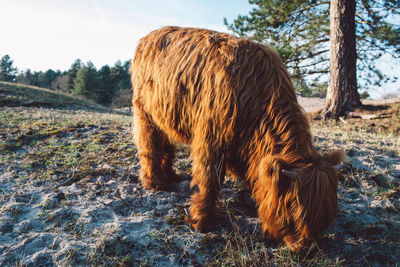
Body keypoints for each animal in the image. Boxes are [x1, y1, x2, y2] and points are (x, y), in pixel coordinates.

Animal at [131, 26, 344, 252]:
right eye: (293, 212)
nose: (307, 248)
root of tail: (148, 36)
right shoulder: (211, 138)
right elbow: (210, 180)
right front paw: (202, 221)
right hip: (144, 112)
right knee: (149, 145)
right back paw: (154, 182)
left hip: (166, 113)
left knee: (166, 143)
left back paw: (170, 176)